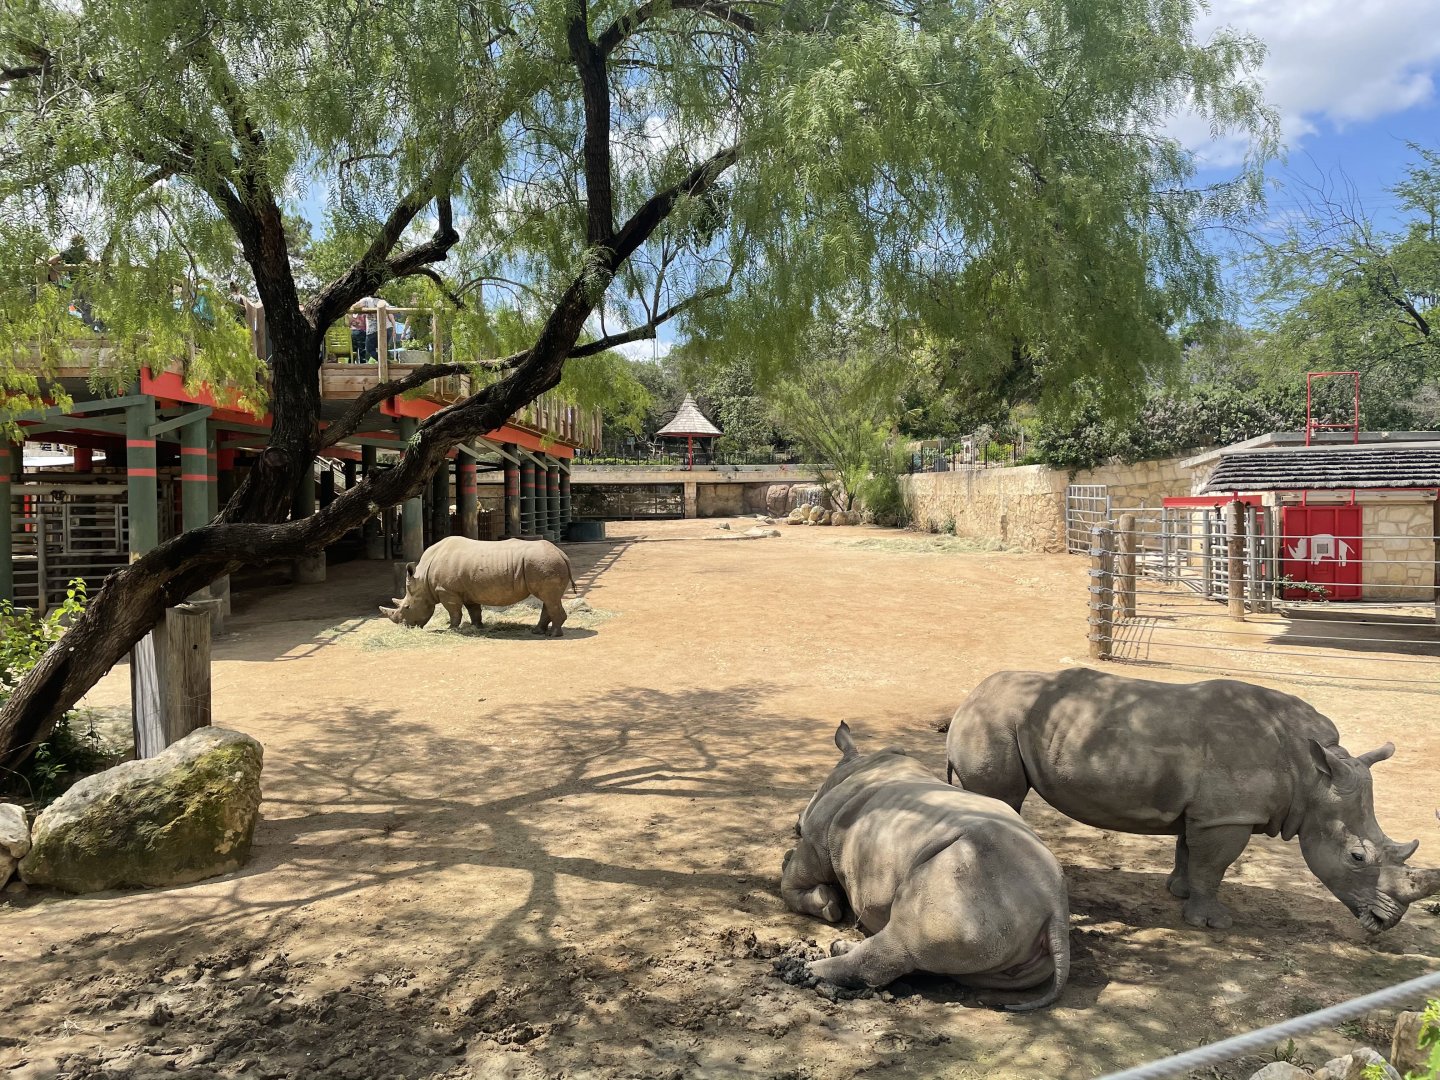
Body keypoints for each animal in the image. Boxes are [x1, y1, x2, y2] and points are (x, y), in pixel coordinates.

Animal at [378, 536, 575, 637]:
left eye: (407, 607)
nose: (405, 628)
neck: (423, 579)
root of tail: (562, 554)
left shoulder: (447, 591)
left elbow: (454, 612)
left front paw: (451, 629)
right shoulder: (467, 590)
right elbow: (474, 610)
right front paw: (477, 627)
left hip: (544, 563)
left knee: (549, 598)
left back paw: (553, 635)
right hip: (545, 563)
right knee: (549, 599)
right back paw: (537, 632)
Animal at [781, 722, 1071, 1011]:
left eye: (811, 796)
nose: (796, 821)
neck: (851, 767)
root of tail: (1054, 909)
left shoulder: (818, 842)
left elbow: (792, 881)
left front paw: (823, 902)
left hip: (967, 881)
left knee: (902, 942)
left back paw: (806, 969)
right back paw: (836, 949)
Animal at [945, 669, 1440, 932]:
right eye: (1357, 857)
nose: (1388, 922)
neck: (1312, 776)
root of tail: (967, 699)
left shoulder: (1209, 812)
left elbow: (1189, 852)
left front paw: (1177, 892)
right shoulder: (1228, 816)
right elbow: (1213, 867)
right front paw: (1211, 924)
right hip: (993, 724)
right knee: (1001, 799)